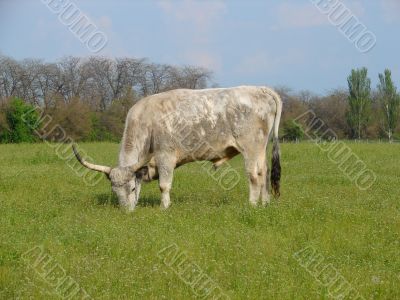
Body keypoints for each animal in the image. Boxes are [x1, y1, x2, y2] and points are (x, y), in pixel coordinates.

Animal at [73, 85, 282, 210]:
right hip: (261, 150)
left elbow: (164, 185)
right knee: (264, 173)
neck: (145, 121)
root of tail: (260, 89)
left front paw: (164, 207)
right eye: (114, 192)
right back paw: (265, 203)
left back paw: (252, 204)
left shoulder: (165, 157)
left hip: (251, 149)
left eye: (132, 188)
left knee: (254, 176)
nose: (126, 211)